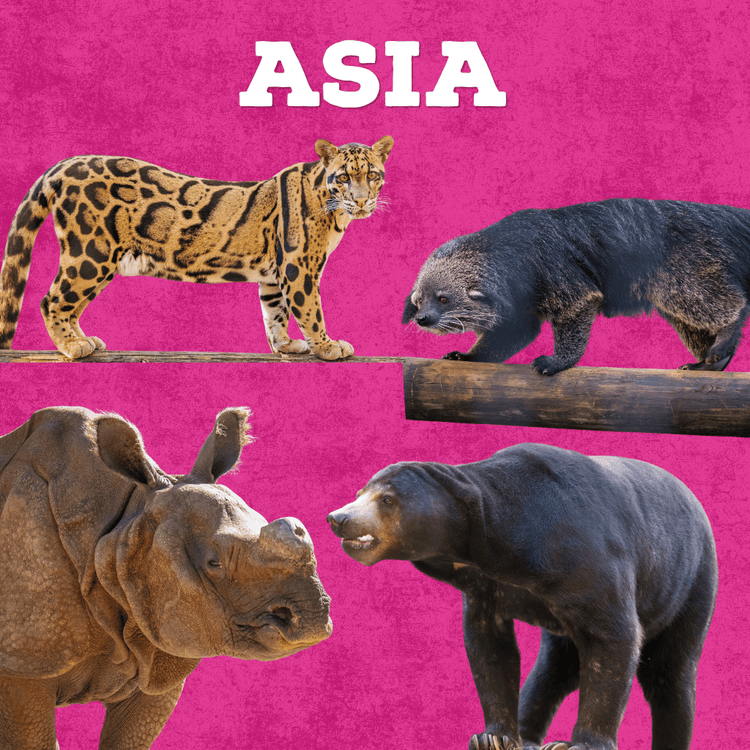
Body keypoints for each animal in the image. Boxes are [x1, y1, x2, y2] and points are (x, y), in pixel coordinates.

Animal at [0, 136, 393, 359]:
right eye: (344, 177)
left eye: (372, 175)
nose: (361, 201)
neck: (334, 210)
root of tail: (64, 165)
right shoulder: (299, 267)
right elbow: (310, 310)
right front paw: (327, 346)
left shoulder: (274, 273)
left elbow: (275, 312)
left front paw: (285, 345)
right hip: (91, 252)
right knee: (52, 300)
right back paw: (72, 346)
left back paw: (84, 340)